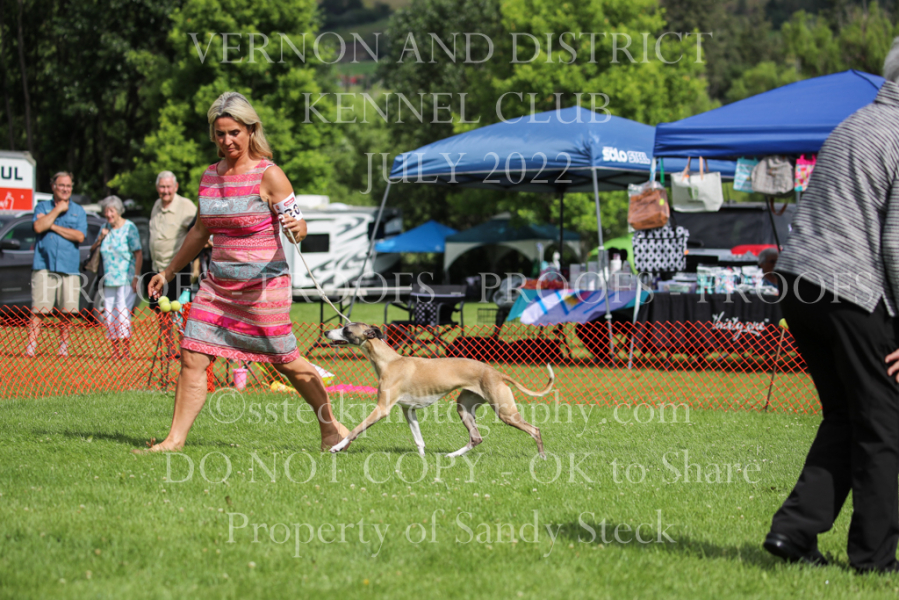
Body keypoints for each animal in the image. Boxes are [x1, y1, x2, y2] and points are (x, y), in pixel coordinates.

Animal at [325, 322, 552, 458]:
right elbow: (418, 439)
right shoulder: (409, 410)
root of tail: (496, 373)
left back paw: (541, 457)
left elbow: (355, 430)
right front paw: (422, 460)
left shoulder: (382, 409)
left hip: (505, 412)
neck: (390, 361)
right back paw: (452, 456)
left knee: (535, 430)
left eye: (346, 329)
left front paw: (336, 447)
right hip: (464, 407)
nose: (326, 332)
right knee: (476, 438)